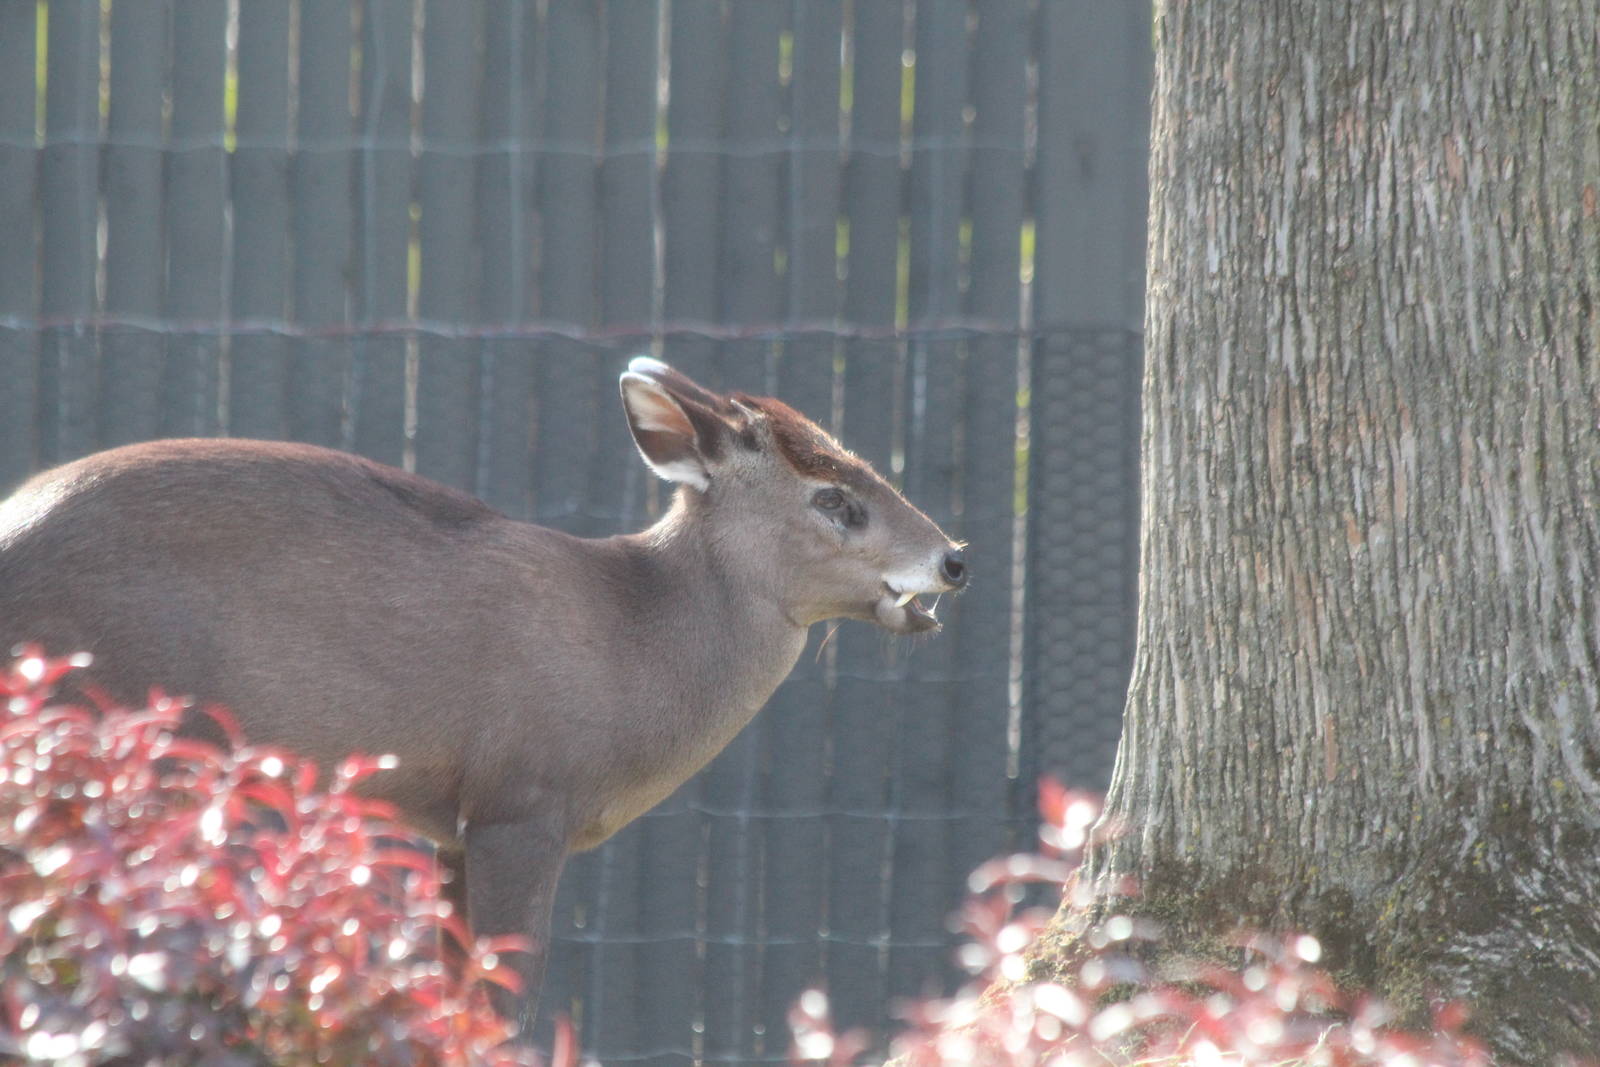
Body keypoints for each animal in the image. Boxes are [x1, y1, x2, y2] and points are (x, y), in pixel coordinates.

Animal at [0, 357, 967, 1034]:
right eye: (836, 498)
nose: (954, 557)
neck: (633, 648)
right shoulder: (523, 800)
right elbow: (503, 1006)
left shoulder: (450, 824)